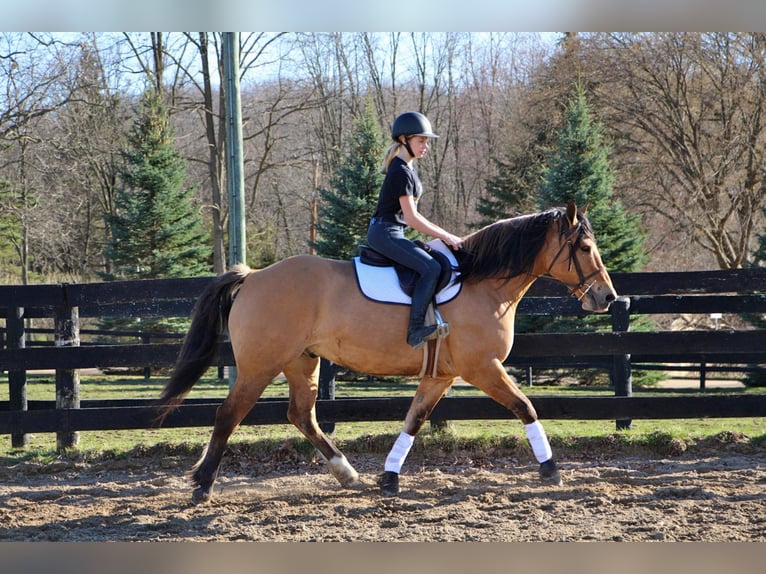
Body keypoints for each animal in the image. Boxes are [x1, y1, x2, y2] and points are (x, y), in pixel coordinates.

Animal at [156, 201, 616, 504]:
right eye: (585, 248)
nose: (607, 297)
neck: (482, 283)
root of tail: (253, 276)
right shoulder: (483, 368)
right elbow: (525, 407)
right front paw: (550, 469)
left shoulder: (441, 375)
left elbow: (415, 419)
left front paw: (390, 478)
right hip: (258, 366)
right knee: (227, 415)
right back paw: (203, 485)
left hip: (302, 361)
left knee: (302, 415)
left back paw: (347, 474)